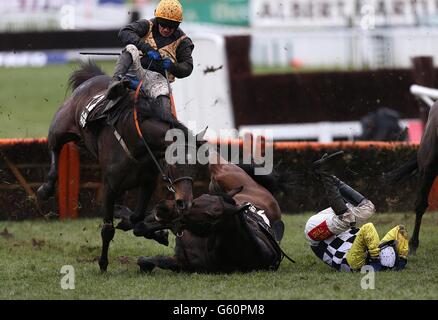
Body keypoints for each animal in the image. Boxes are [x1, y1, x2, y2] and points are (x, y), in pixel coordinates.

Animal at [37, 60, 198, 272]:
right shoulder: (110, 187)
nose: (184, 203)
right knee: (54, 147)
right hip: (60, 126)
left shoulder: (147, 183)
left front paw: (141, 226)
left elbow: (137, 217)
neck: (138, 142)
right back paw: (45, 189)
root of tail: (94, 76)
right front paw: (103, 263)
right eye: (174, 165)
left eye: (196, 166)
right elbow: (108, 228)